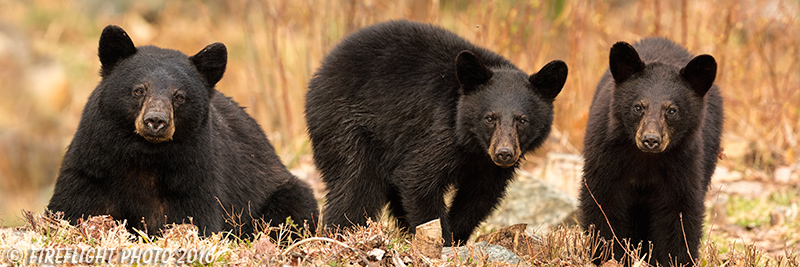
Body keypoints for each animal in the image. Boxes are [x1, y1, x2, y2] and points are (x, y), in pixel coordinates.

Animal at [47, 24, 318, 239]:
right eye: (138, 90)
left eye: (179, 96)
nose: (156, 121)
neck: (144, 157)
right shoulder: (92, 167)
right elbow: (72, 205)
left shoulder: (193, 175)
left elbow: (197, 218)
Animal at [306, 20, 568, 247]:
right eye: (490, 118)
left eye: (522, 120)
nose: (504, 153)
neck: (473, 145)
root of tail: (321, 71)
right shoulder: (439, 131)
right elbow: (418, 180)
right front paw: (443, 241)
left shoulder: (488, 167)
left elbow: (479, 196)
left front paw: (457, 236)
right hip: (346, 126)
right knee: (355, 184)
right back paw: (339, 234)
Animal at [580, 36, 720, 266]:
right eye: (638, 107)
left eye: (672, 110)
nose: (651, 140)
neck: (645, 160)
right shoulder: (606, 157)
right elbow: (603, 204)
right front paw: (607, 255)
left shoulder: (684, 163)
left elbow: (679, 213)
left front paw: (677, 259)